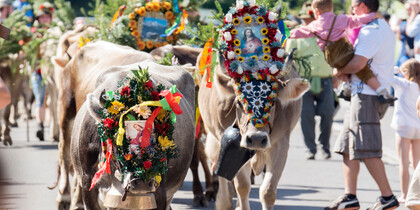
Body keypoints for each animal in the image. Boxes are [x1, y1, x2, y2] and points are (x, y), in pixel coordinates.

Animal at [197, 53, 308, 210]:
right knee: (218, 169)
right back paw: (223, 202)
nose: (256, 138)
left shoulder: (280, 145)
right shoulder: (234, 147)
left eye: (273, 103)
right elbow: (242, 186)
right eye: (238, 102)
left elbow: (268, 192)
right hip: (215, 139)